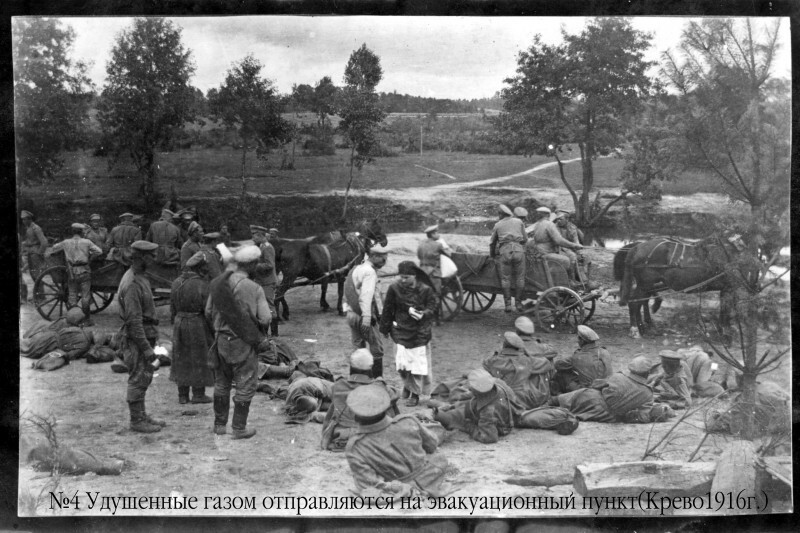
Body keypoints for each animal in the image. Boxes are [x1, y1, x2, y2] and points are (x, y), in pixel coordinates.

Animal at [616, 234, 748, 340]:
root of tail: (636, 248)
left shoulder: (725, 289)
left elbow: (724, 310)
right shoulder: (728, 288)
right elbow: (726, 311)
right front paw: (726, 333)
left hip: (647, 286)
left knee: (639, 302)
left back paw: (643, 328)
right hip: (645, 284)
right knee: (634, 302)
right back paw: (635, 330)